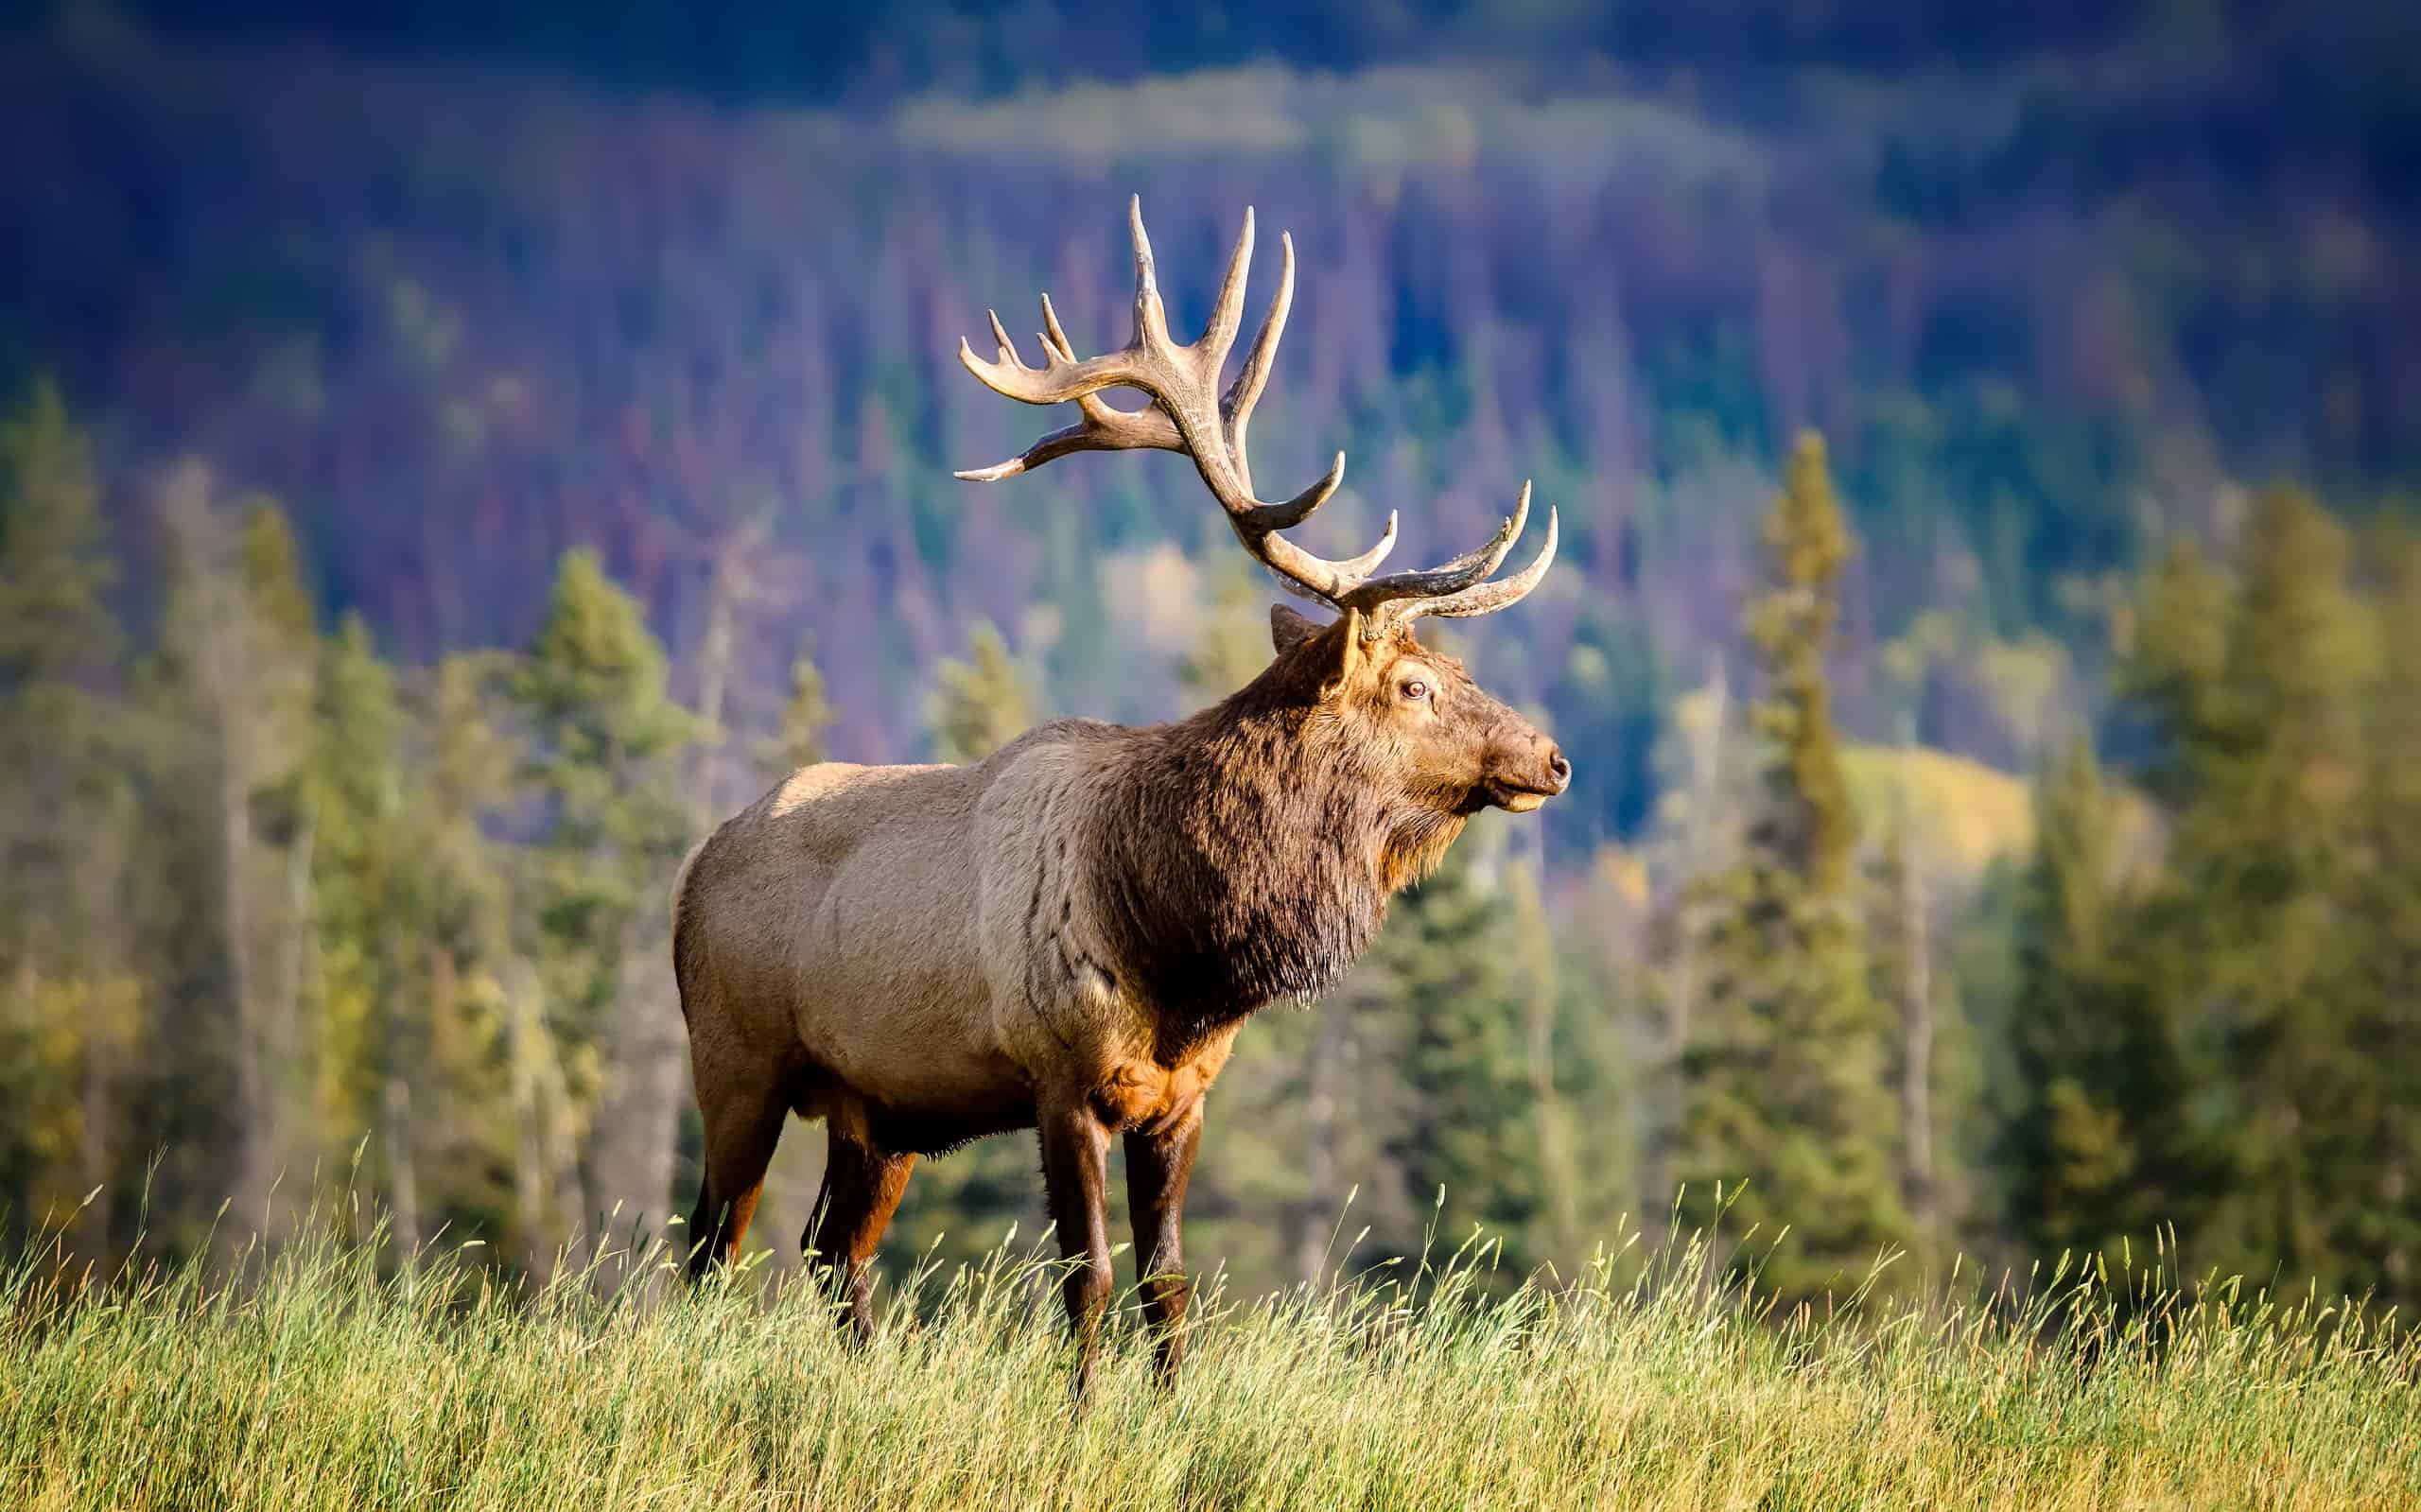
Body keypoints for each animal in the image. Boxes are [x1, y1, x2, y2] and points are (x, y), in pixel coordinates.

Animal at [672, 197, 1567, 1392]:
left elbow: (1168, 1281)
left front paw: (1172, 1403)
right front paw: (1084, 1410)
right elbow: (1086, 1277)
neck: (1175, 943)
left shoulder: (1179, 1097)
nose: (1551, 758)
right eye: (1417, 685)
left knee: (830, 1250)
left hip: (879, 1109)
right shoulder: (1058, 1076)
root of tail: (689, 875)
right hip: (735, 1060)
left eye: (1459, 669)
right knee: (707, 1248)